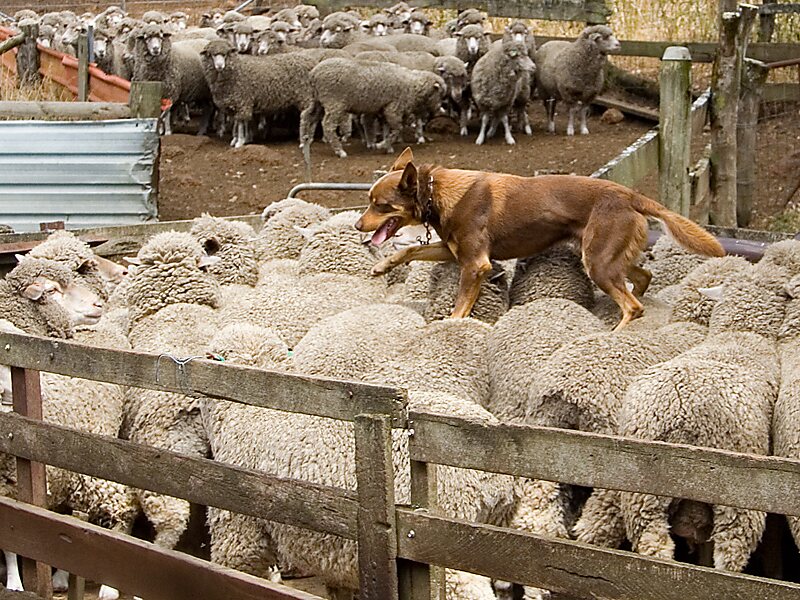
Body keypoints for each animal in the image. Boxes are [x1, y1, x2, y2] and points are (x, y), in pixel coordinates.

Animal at [356, 148, 724, 330]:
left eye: (380, 205)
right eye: (369, 200)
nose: (359, 226)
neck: (436, 193)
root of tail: (630, 195)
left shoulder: (475, 265)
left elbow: (460, 308)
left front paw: (450, 327)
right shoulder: (453, 250)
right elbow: (408, 254)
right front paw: (381, 267)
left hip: (599, 262)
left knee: (632, 306)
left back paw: (612, 335)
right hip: (606, 257)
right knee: (643, 278)